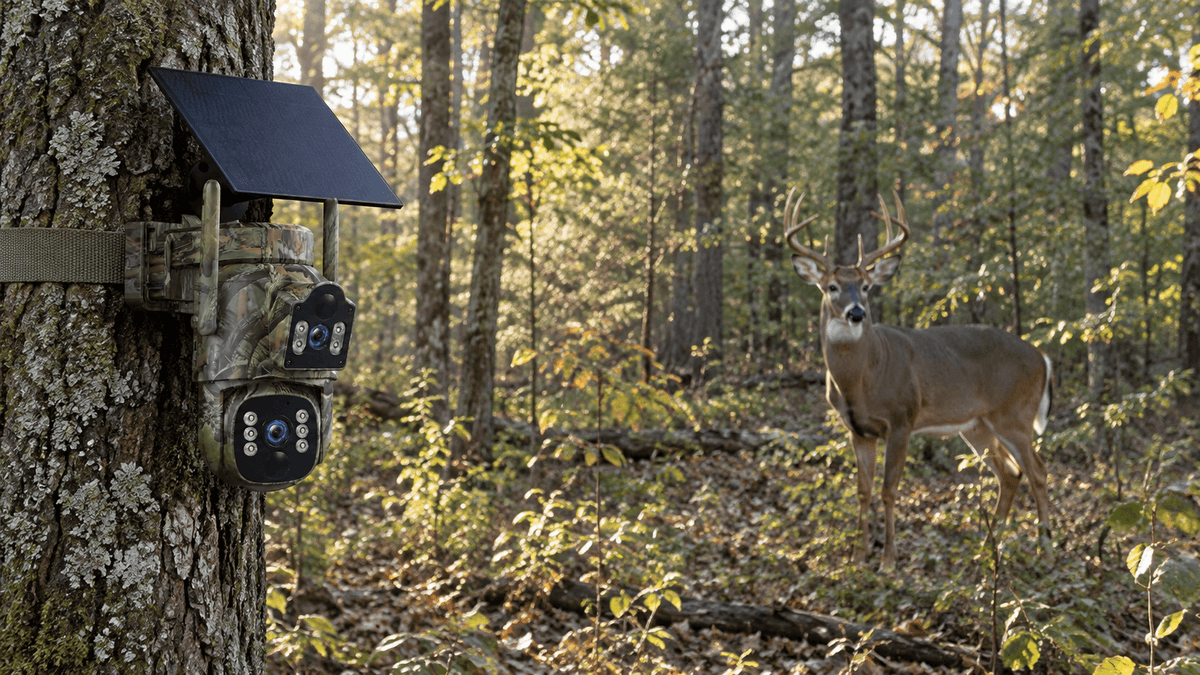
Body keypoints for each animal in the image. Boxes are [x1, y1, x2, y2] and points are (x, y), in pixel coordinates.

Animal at [784, 189, 1053, 569]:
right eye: (832, 286)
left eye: (866, 286)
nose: (856, 313)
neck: (861, 380)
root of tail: (1042, 357)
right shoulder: (858, 430)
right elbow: (863, 490)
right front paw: (857, 556)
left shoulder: (902, 419)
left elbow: (889, 490)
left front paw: (888, 560)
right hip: (978, 425)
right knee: (1010, 474)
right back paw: (988, 547)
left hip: (1015, 414)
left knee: (1038, 472)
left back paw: (1045, 547)